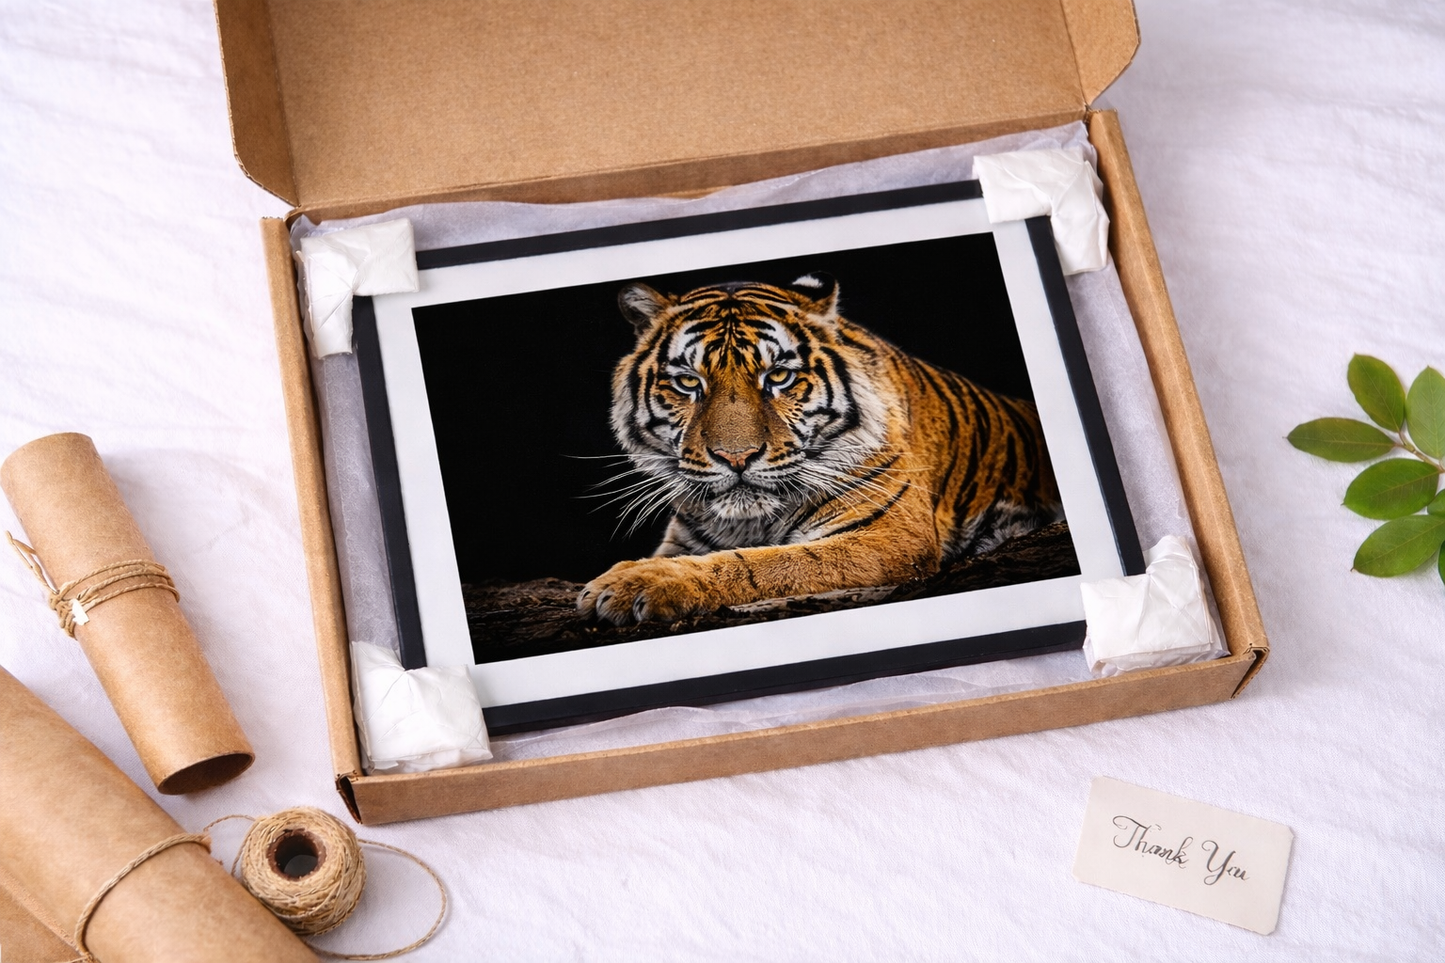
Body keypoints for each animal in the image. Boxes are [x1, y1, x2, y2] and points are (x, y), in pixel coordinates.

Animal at [577, 274, 1062, 625]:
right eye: (687, 382)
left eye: (778, 376)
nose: (736, 457)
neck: (749, 523)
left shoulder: (887, 536)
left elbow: (767, 564)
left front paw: (632, 583)